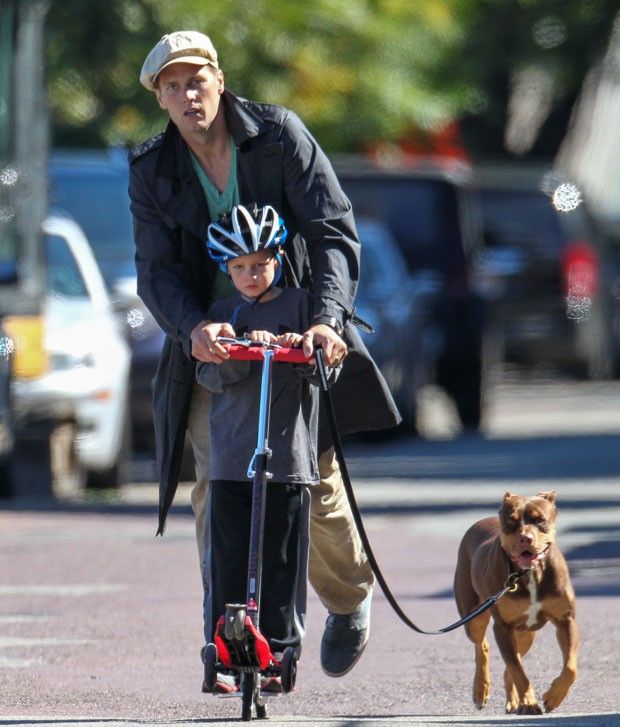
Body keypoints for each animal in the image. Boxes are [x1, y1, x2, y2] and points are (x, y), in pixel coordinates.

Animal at [452, 492, 580, 712]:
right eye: (511, 521)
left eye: (540, 520)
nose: (525, 538)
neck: (529, 574)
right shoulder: (502, 627)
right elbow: (517, 669)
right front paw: (529, 702)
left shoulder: (566, 620)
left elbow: (571, 667)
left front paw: (554, 696)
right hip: (473, 617)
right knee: (482, 645)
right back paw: (481, 689)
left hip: (526, 634)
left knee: (511, 661)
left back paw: (513, 702)